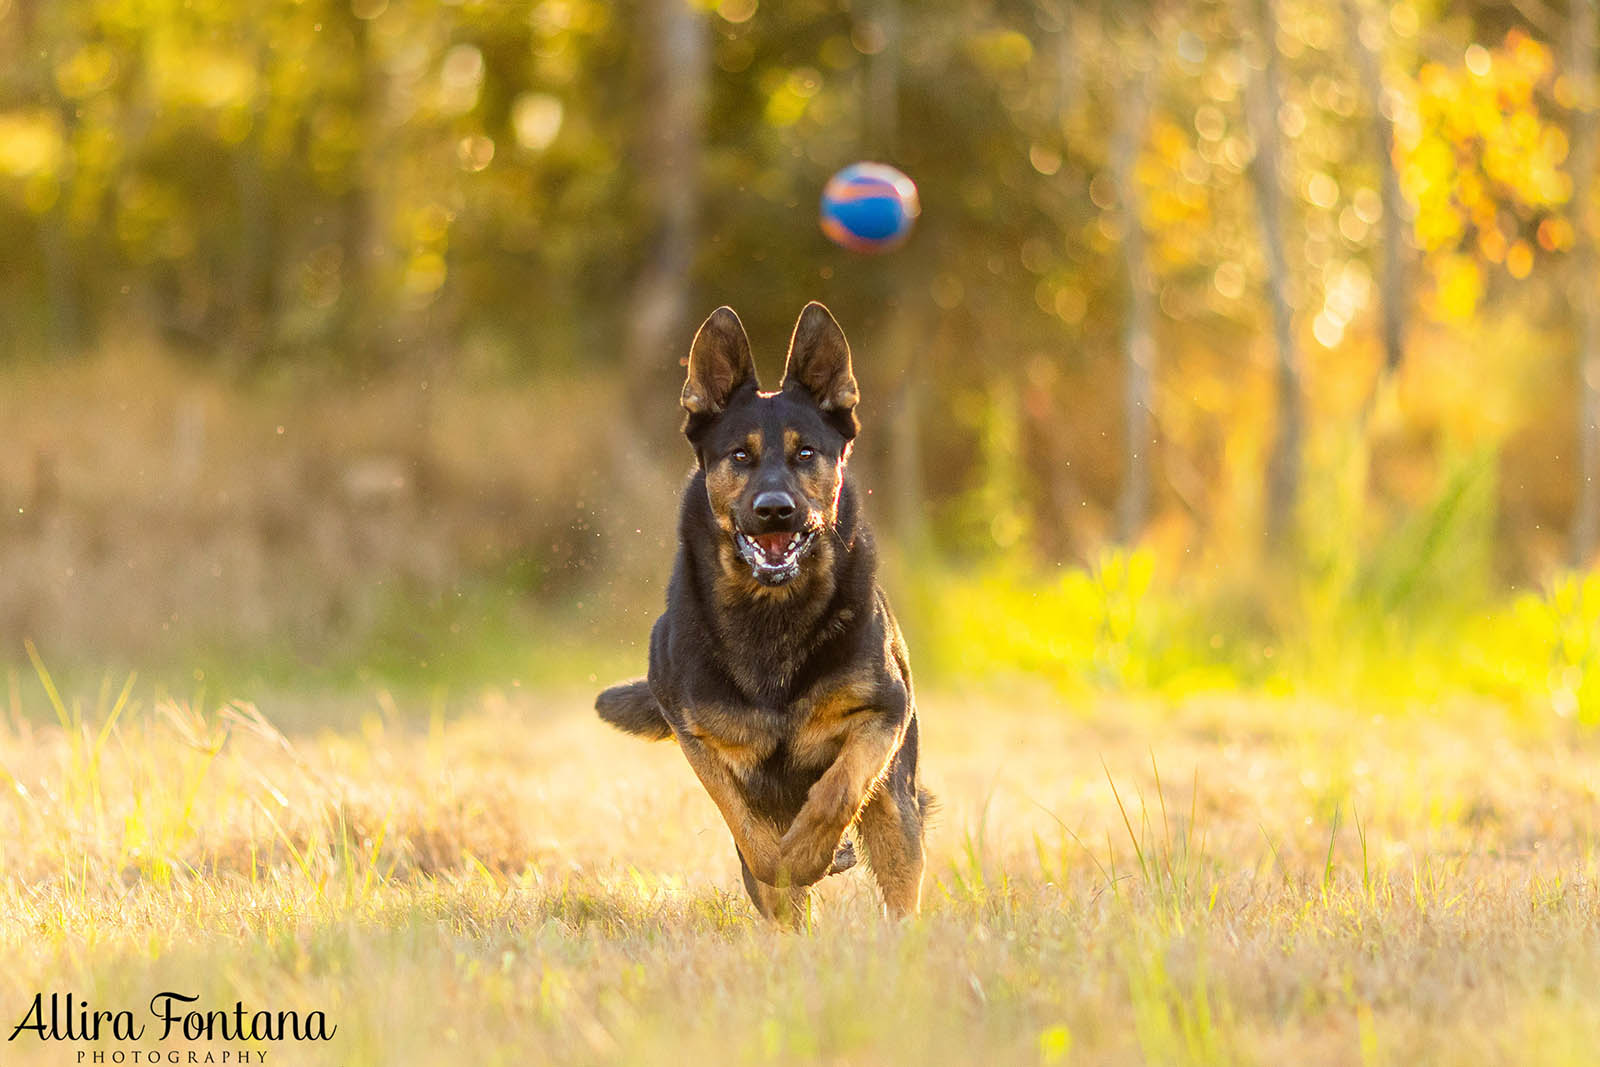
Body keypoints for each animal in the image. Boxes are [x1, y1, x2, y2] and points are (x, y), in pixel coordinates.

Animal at [595, 303, 934, 921]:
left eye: (805, 453)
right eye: (740, 456)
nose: (774, 510)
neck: (772, 616)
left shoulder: (883, 714)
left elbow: (837, 789)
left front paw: (810, 852)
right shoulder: (695, 734)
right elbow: (743, 823)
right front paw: (785, 860)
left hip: (897, 808)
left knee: (898, 875)